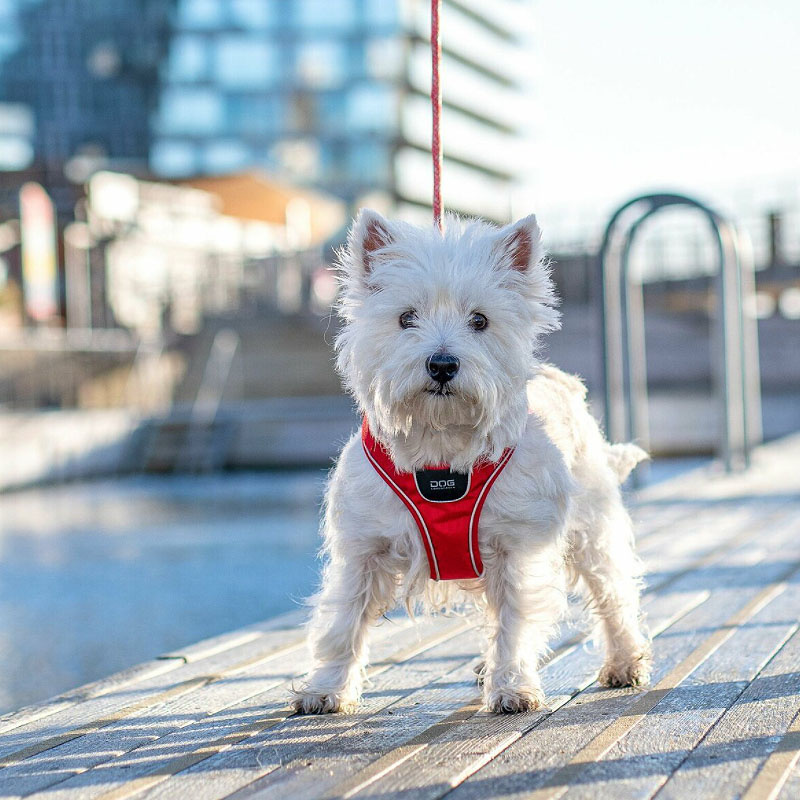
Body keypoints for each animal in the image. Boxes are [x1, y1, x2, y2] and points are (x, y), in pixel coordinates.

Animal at [294, 211, 648, 712]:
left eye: (479, 320)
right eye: (406, 318)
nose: (442, 364)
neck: (441, 449)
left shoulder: (518, 546)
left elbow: (516, 620)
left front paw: (512, 686)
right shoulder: (364, 547)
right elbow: (343, 620)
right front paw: (326, 690)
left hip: (592, 529)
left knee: (613, 591)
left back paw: (624, 663)